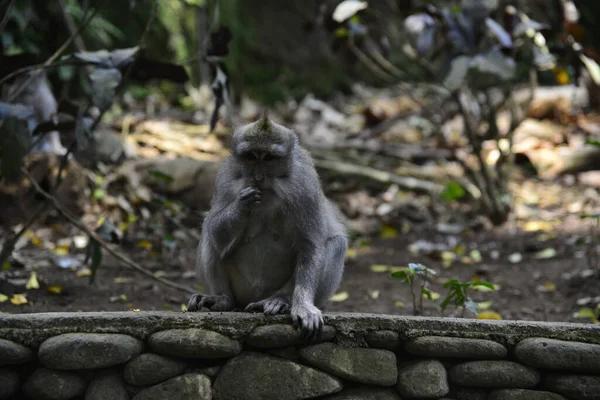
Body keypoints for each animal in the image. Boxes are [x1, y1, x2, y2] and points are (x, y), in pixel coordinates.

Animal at [188, 112, 346, 340]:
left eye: (269, 158)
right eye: (251, 156)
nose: (258, 177)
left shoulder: (303, 185)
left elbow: (310, 245)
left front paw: (303, 306)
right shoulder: (226, 177)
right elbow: (215, 230)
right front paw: (241, 204)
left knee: (336, 243)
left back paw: (280, 301)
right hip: (241, 289)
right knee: (210, 233)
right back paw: (223, 299)